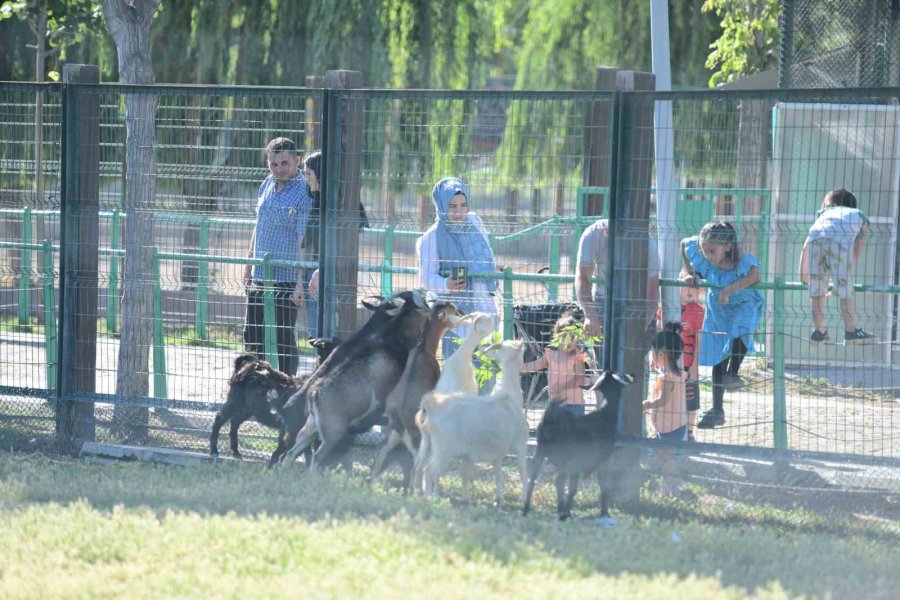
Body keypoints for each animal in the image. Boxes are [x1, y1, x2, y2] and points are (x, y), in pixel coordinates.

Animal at [414, 340, 528, 504]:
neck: (509, 395)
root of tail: (428, 405)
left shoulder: (495, 453)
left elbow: (496, 476)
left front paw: (497, 499)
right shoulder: (520, 443)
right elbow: (523, 472)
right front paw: (525, 499)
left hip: (427, 443)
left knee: (418, 466)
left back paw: (416, 494)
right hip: (443, 450)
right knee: (428, 471)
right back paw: (430, 498)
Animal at [520, 370, 632, 520]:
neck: (605, 416)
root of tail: (550, 418)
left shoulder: (578, 468)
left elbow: (572, 488)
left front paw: (568, 511)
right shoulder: (603, 462)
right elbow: (602, 486)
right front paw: (604, 513)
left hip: (540, 453)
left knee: (532, 479)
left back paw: (526, 509)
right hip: (568, 460)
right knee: (558, 480)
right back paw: (561, 512)